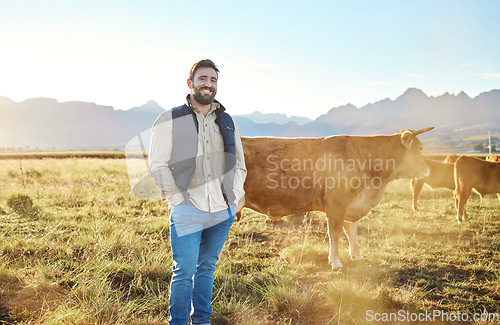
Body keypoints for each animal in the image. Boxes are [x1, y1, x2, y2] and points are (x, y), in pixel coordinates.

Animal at [238, 126, 434, 268]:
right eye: (420, 148)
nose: (427, 171)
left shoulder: (351, 204)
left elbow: (352, 231)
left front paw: (356, 255)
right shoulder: (336, 204)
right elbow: (335, 233)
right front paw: (336, 261)